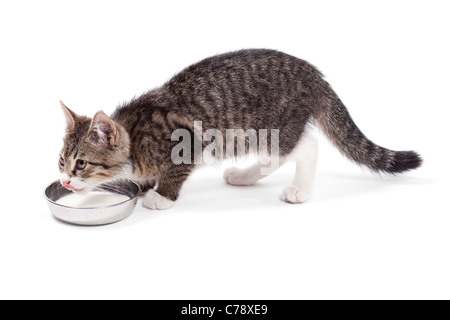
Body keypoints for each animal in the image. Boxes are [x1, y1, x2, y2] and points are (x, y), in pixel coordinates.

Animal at [59, 48, 422, 209]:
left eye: (82, 163)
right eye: (61, 162)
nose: (64, 180)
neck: (135, 138)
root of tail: (313, 73)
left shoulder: (188, 141)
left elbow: (174, 172)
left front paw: (161, 196)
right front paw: (147, 184)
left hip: (270, 128)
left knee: (306, 148)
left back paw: (300, 190)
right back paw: (245, 176)